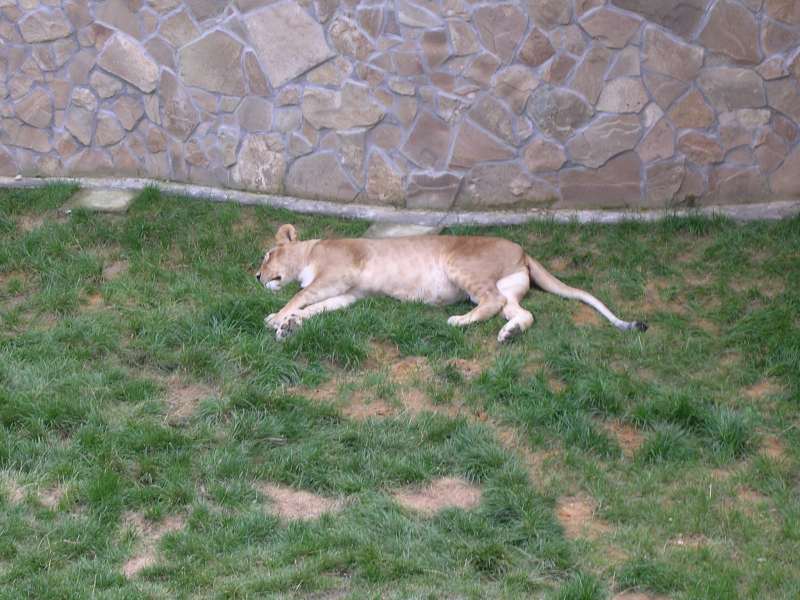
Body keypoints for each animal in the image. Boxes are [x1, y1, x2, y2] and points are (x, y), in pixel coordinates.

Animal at [256, 224, 647, 342]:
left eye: (267, 254)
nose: (256, 277)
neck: (313, 249)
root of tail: (523, 249)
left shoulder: (338, 274)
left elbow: (302, 296)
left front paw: (277, 318)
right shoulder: (349, 293)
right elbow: (319, 306)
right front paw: (290, 324)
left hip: (460, 265)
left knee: (491, 303)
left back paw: (458, 321)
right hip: (510, 287)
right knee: (520, 312)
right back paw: (509, 334)